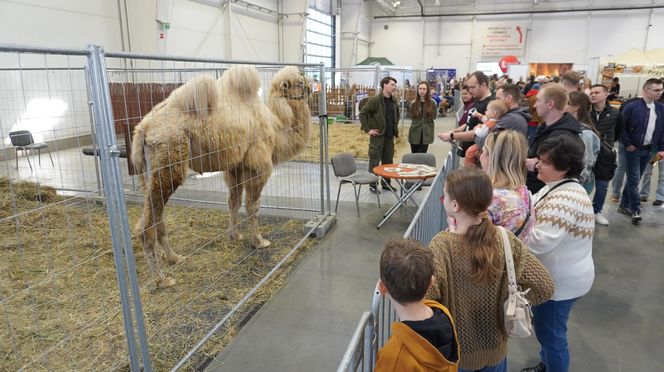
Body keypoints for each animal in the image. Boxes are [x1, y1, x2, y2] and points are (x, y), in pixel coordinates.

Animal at [132, 66, 314, 288]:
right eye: (299, 82)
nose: (311, 86)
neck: (277, 126)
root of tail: (142, 130)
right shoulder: (257, 165)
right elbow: (253, 207)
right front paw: (259, 241)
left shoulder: (236, 166)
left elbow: (233, 202)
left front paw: (234, 235)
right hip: (168, 164)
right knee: (146, 227)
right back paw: (162, 279)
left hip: (149, 174)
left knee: (157, 218)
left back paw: (175, 258)